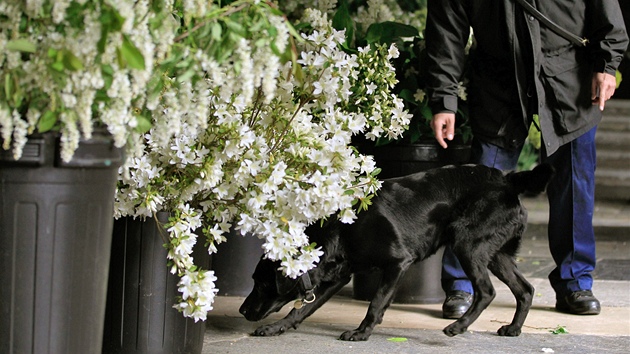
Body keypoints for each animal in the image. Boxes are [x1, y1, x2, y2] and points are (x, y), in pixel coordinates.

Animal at [239, 163, 556, 340]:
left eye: (262, 284)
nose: (242, 310)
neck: (343, 229)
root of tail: (507, 179)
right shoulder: (337, 277)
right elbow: (302, 309)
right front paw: (276, 328)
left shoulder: (398, 264)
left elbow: (376, 302)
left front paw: (362, 332)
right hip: (497, 255)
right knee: (525, 289)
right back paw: (513, 329)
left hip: (467, 245)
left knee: (487, 291)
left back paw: (459, 326)